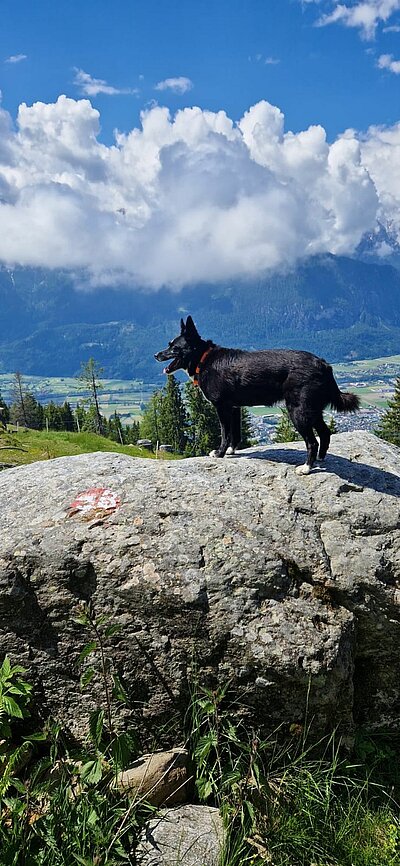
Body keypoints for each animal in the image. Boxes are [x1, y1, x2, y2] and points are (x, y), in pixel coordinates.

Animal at [155, 316, 360, 472]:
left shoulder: (222, 408)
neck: (204, 359)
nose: (156, 355)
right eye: (168, 344)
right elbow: (235, 434)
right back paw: (320, 459)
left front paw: (220, 453)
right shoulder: (234, 408)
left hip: (298, 411)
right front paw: (231, 451)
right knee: (325, 433)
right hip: (312, 410)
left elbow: (224, 433)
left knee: (312, 442)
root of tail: (323, 364)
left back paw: (307, 468)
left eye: (174, 347)